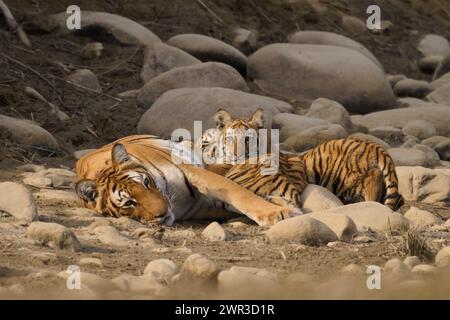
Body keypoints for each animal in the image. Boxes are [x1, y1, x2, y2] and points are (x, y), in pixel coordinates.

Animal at [74, 134, 298, 226]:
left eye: (146, 182)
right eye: (129, 203)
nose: (163, 212)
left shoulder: (193, 171)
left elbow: (237, 191)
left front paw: (279, 212)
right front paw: (280, 208)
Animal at [200, 109, 404, 211]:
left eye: (248, 139)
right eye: (230, 138)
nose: (237, 154)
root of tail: (375, 146)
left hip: (344, 177)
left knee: (372, 179)